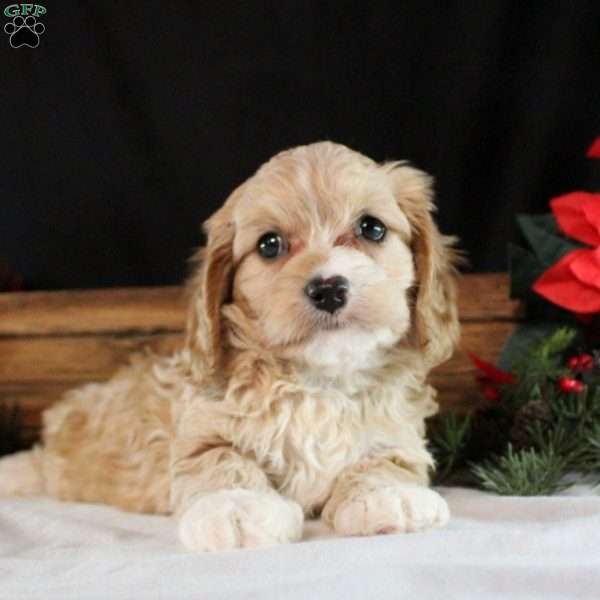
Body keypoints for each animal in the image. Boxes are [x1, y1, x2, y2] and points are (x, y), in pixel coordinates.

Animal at [0, 142, 460, 552]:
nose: (328, 289)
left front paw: (386, 495)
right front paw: (238, 508)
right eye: (270, 244)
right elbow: (220, 459)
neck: (319, 379)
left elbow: (386, 461)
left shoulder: (397, 434)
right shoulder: (202, 428)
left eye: (372, 228)